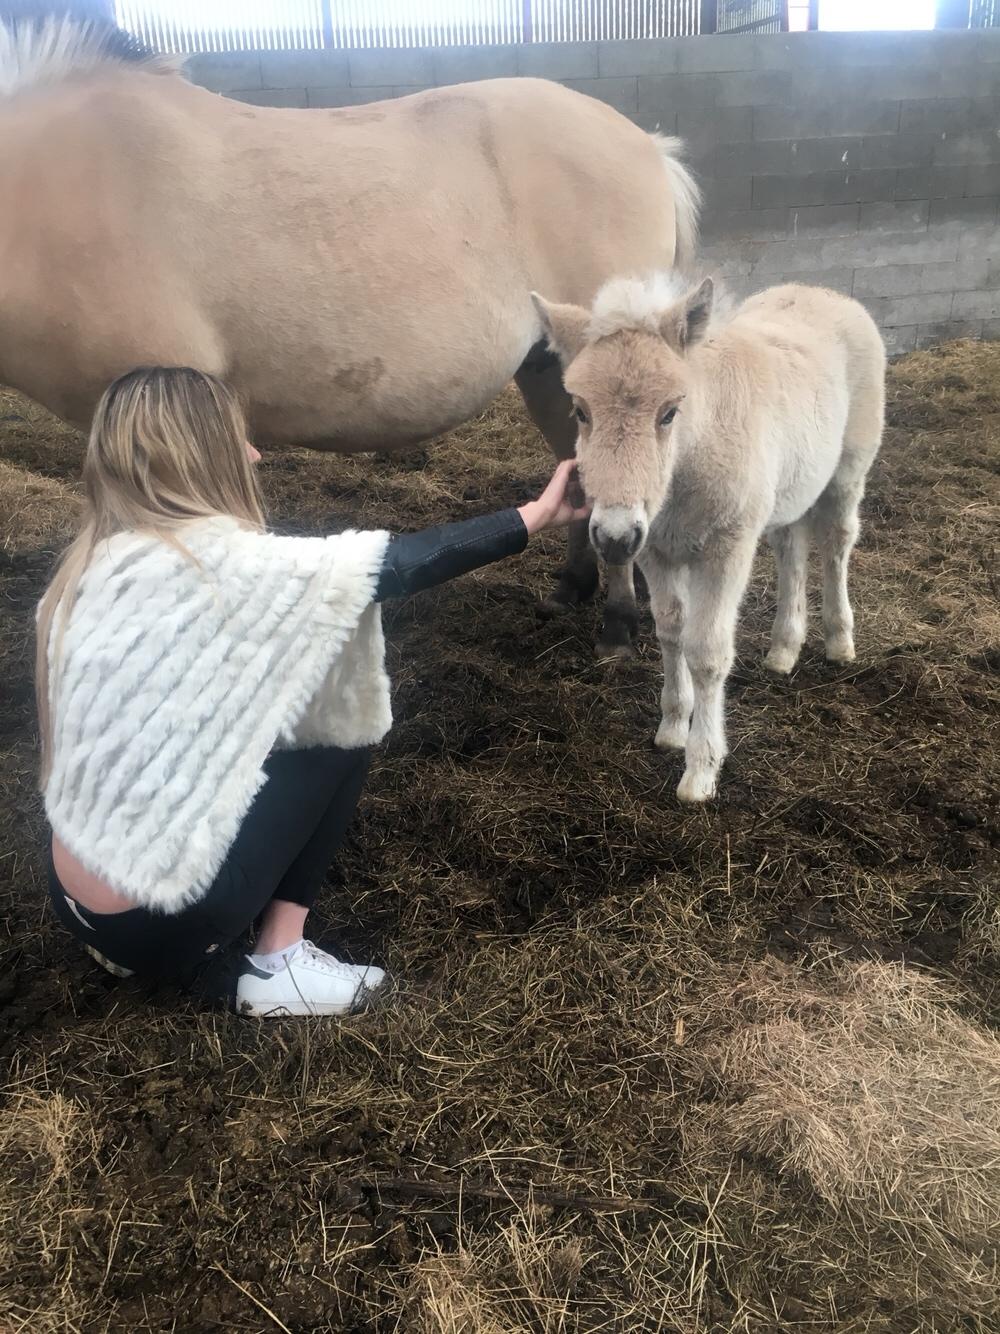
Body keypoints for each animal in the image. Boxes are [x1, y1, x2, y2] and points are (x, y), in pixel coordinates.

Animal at [536, 278, 890, 800]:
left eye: (669, 412)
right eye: (581, 411)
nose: (615, 537)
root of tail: (820, 291)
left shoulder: (727, 547)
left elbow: (706, 651)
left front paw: (701, 770)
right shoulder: (656, 549)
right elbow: (670, 630)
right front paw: (671, 729)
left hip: (851, 465)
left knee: (838, 542)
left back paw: (839, 641)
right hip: (789, 487)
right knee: (791, 547)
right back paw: (784, 649)